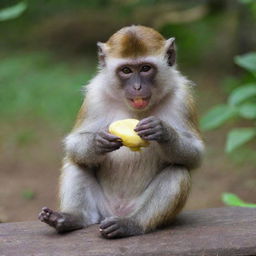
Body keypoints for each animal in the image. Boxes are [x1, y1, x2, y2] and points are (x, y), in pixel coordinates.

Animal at [38, 25, 204, 239]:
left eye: (145, 68)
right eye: (126, 70)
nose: (137, 87)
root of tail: (116, 211)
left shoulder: (182, 98)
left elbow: (195, 154)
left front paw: (162, 131)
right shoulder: (95, 96)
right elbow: (74, 143)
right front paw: (98, 141)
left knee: (177, 171)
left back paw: (131, 224)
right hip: (100, 208)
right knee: (77, 162)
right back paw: (72, 218)